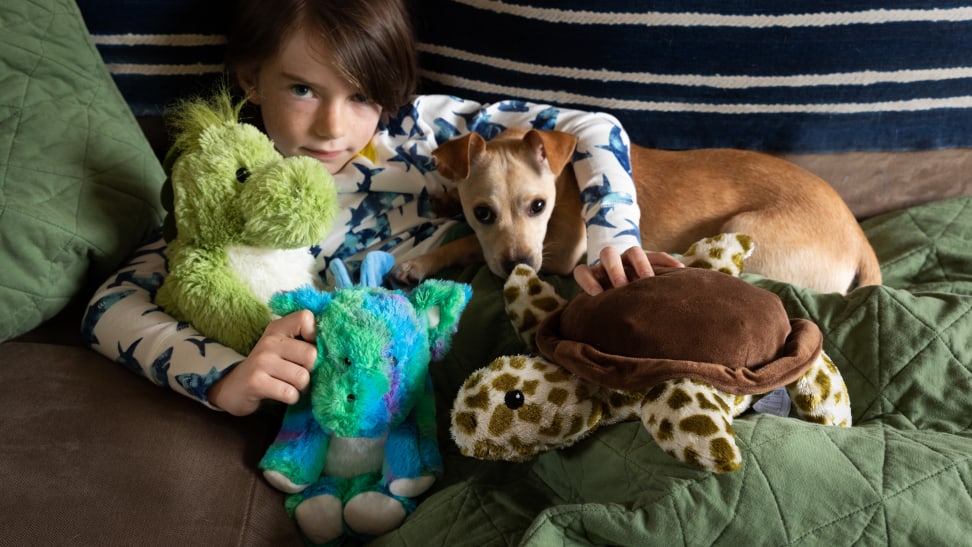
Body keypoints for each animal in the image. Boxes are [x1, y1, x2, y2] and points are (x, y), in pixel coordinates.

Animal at [388, 128, 880, 294]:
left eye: (539, 206)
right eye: (484, 212)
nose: (518, 266)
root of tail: (861, 240)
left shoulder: (558, 251)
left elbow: (468, 245)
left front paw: (421, 261)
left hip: (743, 230)